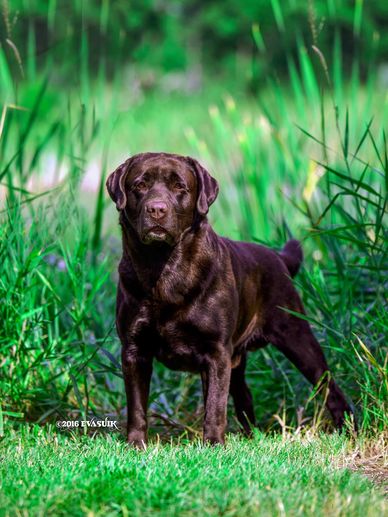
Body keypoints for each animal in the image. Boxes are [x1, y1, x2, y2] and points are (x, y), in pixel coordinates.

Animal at [105, 151, 352, 446]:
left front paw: (212, 443)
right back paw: (250, 437)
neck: (163, 269)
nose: (156, 209)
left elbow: (214, 405)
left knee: (329, 386)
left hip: (298, 339)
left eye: (179, 187)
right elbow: (137, 404)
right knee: (244, 396)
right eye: (140, 185)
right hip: (238, 360)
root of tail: (279, 258)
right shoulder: (134, 350)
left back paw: (348, 428)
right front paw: (135, 444)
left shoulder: (215, 352)